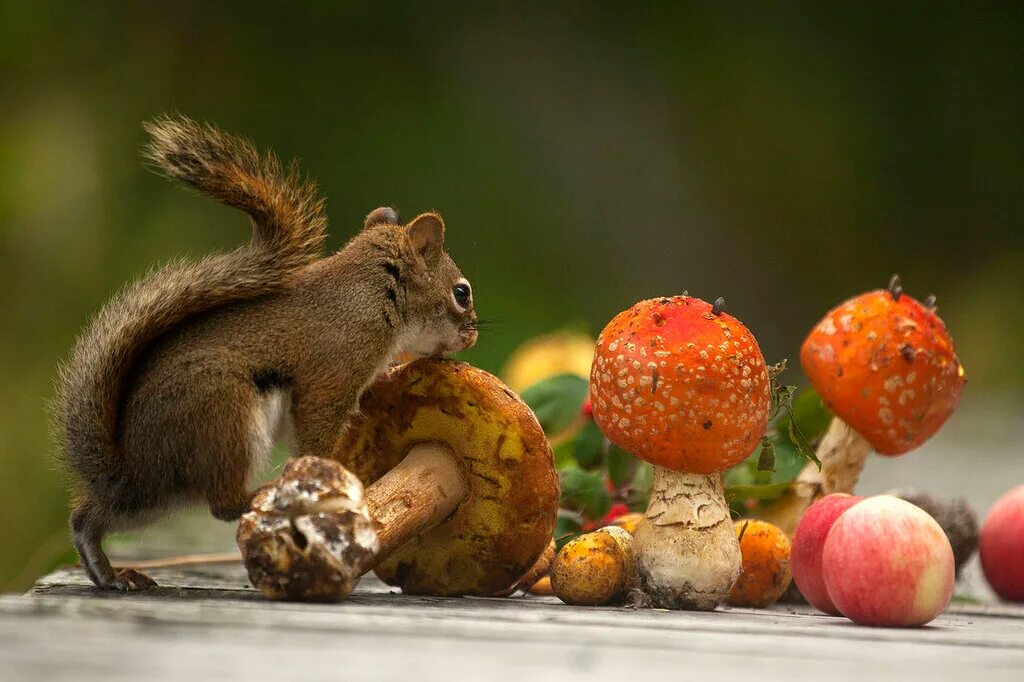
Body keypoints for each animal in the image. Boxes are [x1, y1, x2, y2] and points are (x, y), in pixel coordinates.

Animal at [58, 114, 481, 585]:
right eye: (461, 293)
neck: (372, 292)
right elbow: (315, 433)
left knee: (94, 515)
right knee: (221, 504)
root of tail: (131, 465)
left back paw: (106, 572)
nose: (472, 336)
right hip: (224, 418)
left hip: (154, 497)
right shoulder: (331, 375)